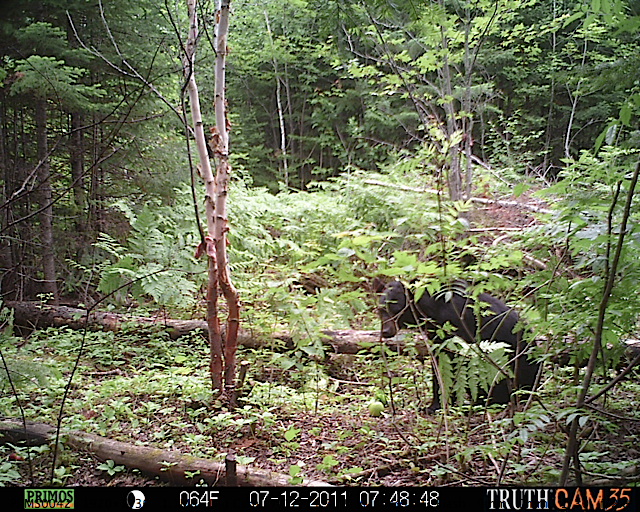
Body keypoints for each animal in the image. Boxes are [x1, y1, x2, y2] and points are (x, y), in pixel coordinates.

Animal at [378, 280, 536, 412]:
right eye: (380, 309)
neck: (432, 309)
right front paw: (433, 405)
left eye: (394, 307)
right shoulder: (436, 334)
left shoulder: (453, 327)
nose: (385, 331)